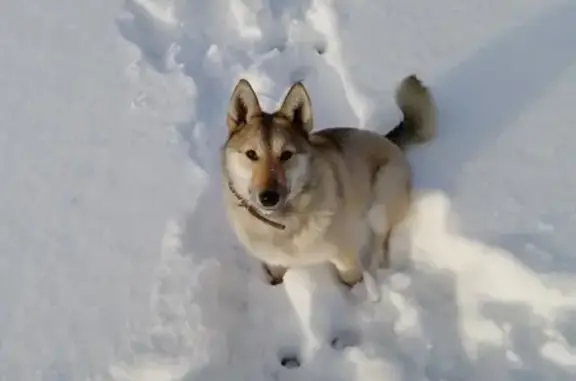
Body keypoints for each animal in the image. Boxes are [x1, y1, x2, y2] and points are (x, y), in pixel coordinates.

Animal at [220, 74, 436, 286]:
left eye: (286, 155)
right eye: (251, 154)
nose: (268, 197)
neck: (283, 221)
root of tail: (389, 140)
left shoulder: (346, 257)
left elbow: (350, 277)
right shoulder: (275, 262)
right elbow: (276, 274)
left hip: (382, 200)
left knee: (379, 244)